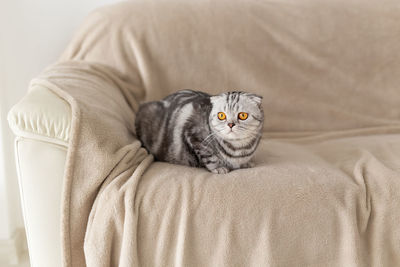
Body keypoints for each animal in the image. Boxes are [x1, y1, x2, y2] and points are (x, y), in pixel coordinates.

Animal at [136, 90, 264, 174]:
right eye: (221, 115)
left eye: (242, 115)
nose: (230, 124)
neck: (238, 148)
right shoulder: (194, 136)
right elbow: (209, 156)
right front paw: (218, 168)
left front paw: (246, 163)